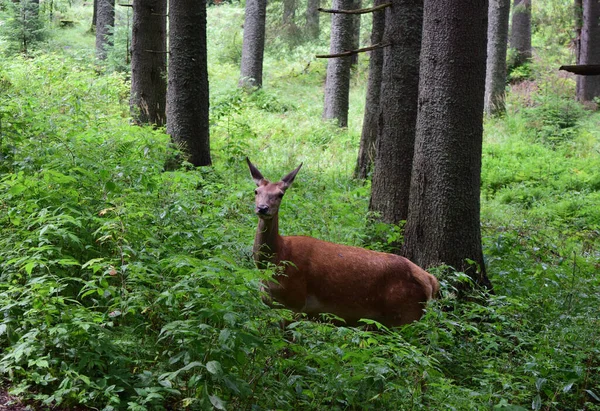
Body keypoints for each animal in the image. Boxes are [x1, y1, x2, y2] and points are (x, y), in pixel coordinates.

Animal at [246, 159, 438, 328]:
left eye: (280, 194)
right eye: (256, 191)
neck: (278, 256)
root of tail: (431, 281)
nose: (262, 208)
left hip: (405, 315)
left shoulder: (296, 302)